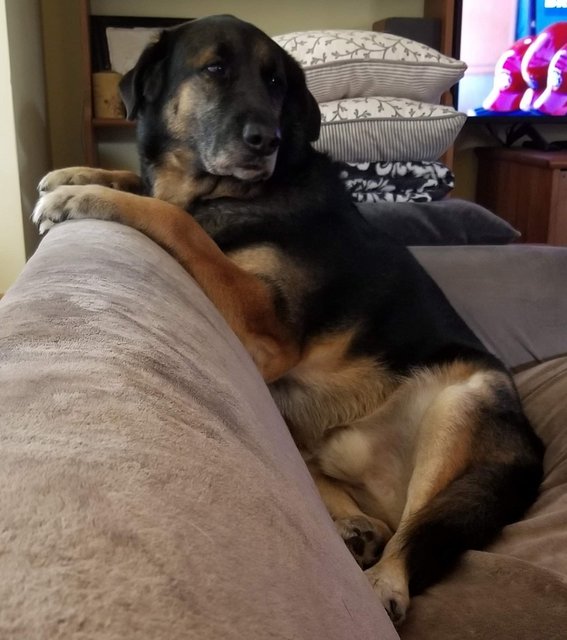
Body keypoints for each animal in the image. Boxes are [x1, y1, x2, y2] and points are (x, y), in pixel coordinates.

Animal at [33, 15, 543, 625]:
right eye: (216, 68)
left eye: (276, 83)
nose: (267, 141)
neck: (235, 190)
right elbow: (153, 193)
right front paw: (76, 173)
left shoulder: (269, 330)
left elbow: (179, 223)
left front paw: (81, 195)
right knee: (378, 519)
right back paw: (356, 528)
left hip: (465, 402)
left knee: (416, 534)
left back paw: (384, 579)